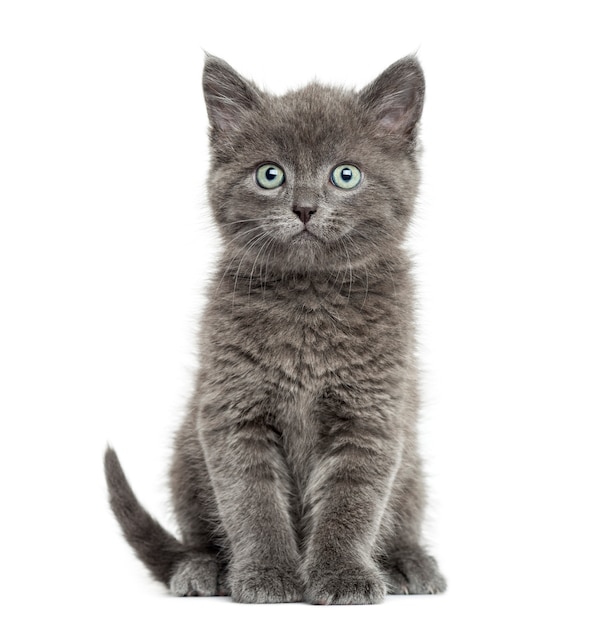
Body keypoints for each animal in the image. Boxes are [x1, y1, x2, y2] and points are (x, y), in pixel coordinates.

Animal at [106, 54, 446, 604]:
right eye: (271, 175)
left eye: (345, 175)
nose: (304, 207)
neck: (308, 299)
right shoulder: (232, 411)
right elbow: (251, 500)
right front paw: (266, 575)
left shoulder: (372, 413)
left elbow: (352, 502)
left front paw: (343, 576)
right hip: (185, 453)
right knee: (197, 534)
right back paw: (201, 568)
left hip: (412, 464)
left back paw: (406, 563)